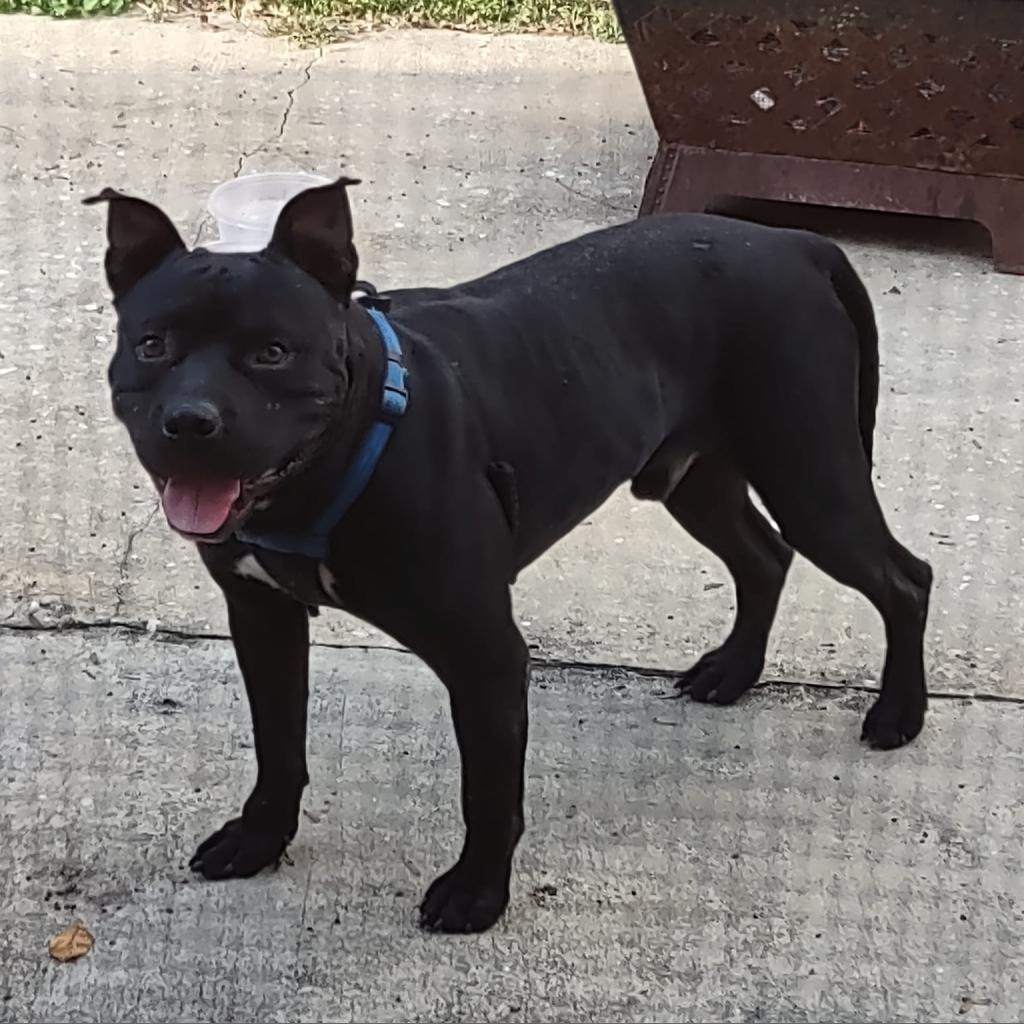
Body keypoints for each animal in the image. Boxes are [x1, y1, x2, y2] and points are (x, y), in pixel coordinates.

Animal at [88, 178, 933, 937]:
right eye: (153, 345)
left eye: (271, 353)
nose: (188, 421)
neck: (336, 460)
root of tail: (795, 243)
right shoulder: (261, 619)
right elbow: (277, 744)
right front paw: (262, 838)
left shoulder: (484, 654)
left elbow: (488, 791)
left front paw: (477, 892)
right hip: (696, 478)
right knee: (765, 557)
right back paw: (735, 670)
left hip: (811, 478)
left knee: (905, 578)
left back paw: (899, 712)